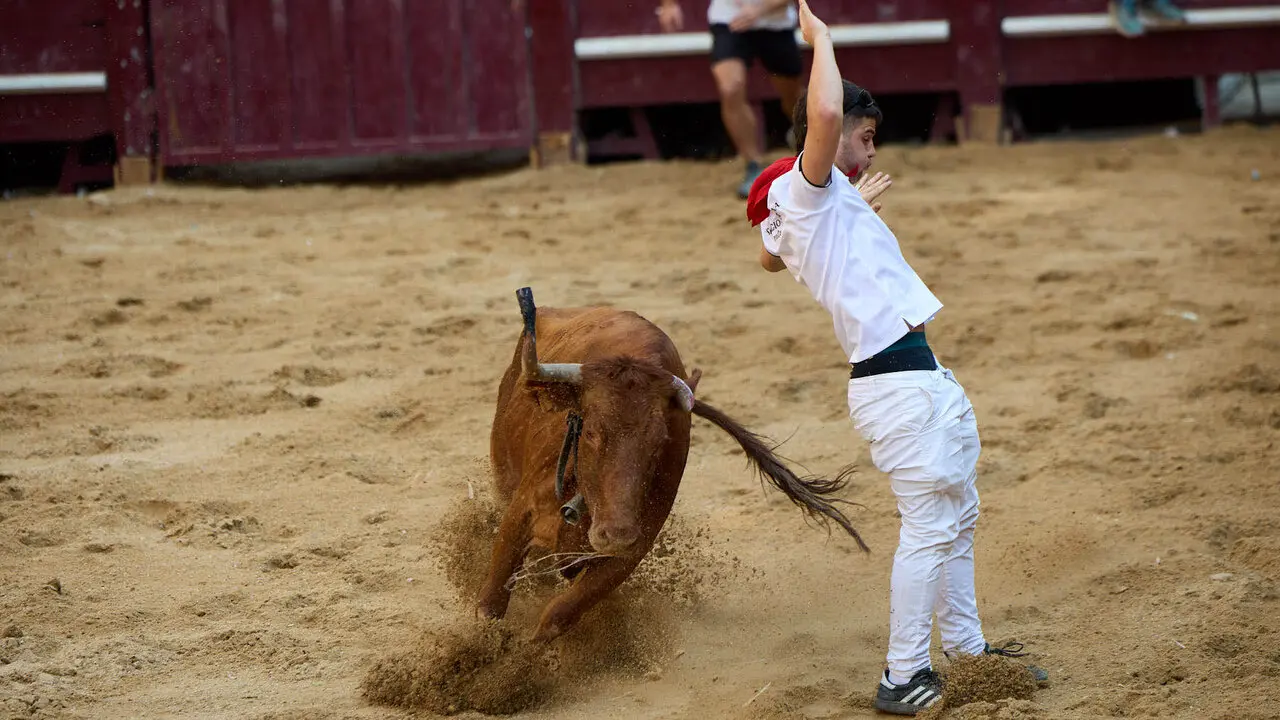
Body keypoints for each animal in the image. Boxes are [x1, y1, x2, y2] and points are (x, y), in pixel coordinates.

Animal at [476, 287, 868, 643]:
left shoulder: (636, 545)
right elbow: (492, 601)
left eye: (659, 441)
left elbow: (560, 613)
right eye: (590, 432)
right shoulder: (520, 510)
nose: (615, 535)